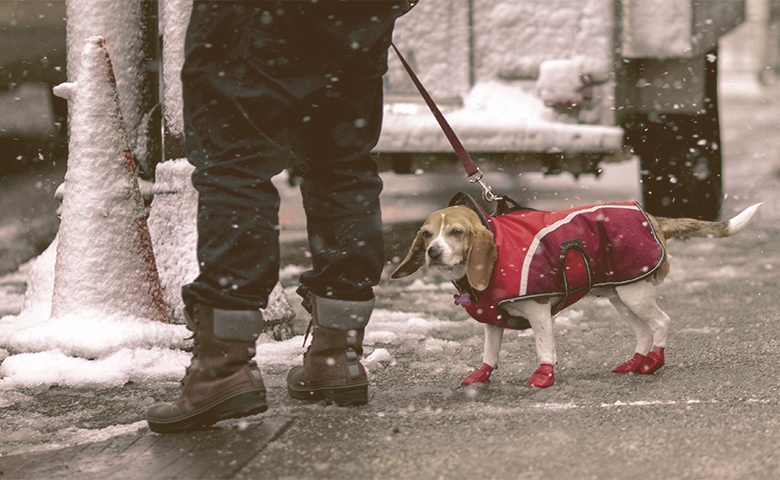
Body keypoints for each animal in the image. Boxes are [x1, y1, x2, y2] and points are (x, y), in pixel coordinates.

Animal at [394, 201, 760, 388]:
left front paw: (544, 375)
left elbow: (544, 348)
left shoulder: (539, 312)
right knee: (643, 331)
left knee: (661, 323)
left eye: (456, 232)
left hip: (636, 294)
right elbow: (489, 352)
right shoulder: (492, 322)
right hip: (621, 298)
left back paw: (653, 362)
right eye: (426, 234)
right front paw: (481, 375)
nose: (434, 252)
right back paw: (636, 361)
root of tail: (653, 217)